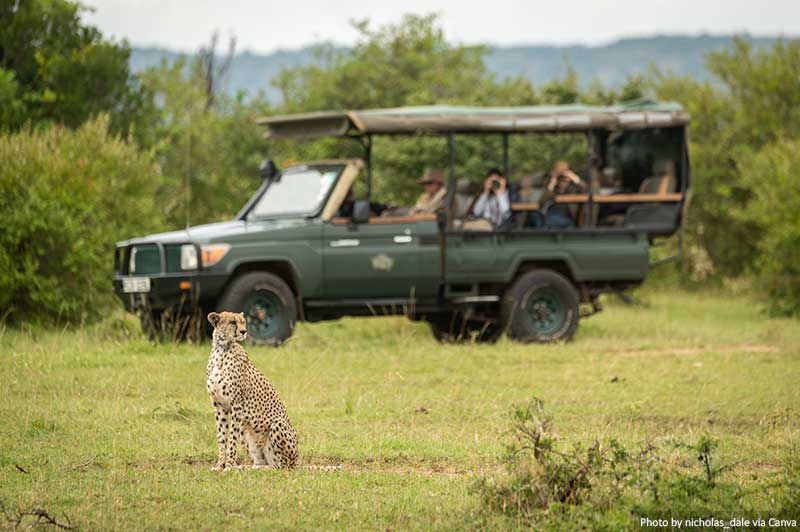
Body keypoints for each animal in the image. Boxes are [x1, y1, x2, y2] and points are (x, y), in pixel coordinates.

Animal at [206, 311, 298, 471]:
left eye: (243, 321)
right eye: (232, 322)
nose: (244, 331)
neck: (221, 349)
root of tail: (298, 462)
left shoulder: (237, 405)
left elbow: (231, 439)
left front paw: (228, 466)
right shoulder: (218, 405)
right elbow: (221, 438)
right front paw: (220, 466)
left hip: (277, 424)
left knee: (280, 467)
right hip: (247, 430)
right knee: (261, 462)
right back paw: (247, 468)